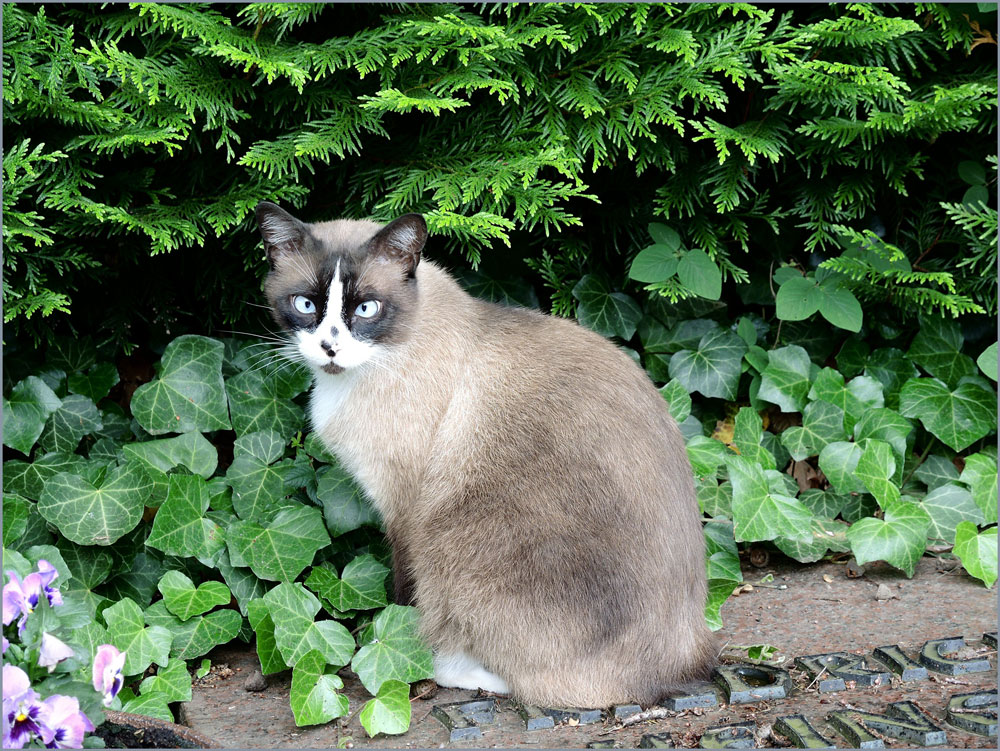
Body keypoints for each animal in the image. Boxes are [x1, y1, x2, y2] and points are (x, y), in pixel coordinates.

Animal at [254, 203, 716, 708]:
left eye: (365, 309)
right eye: (305, 305)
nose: (330, 347)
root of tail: (678, 668)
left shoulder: (405, 512)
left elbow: (405, 592)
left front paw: (392, 643)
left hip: (453, 539)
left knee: (537, 682)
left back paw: (452, 668)